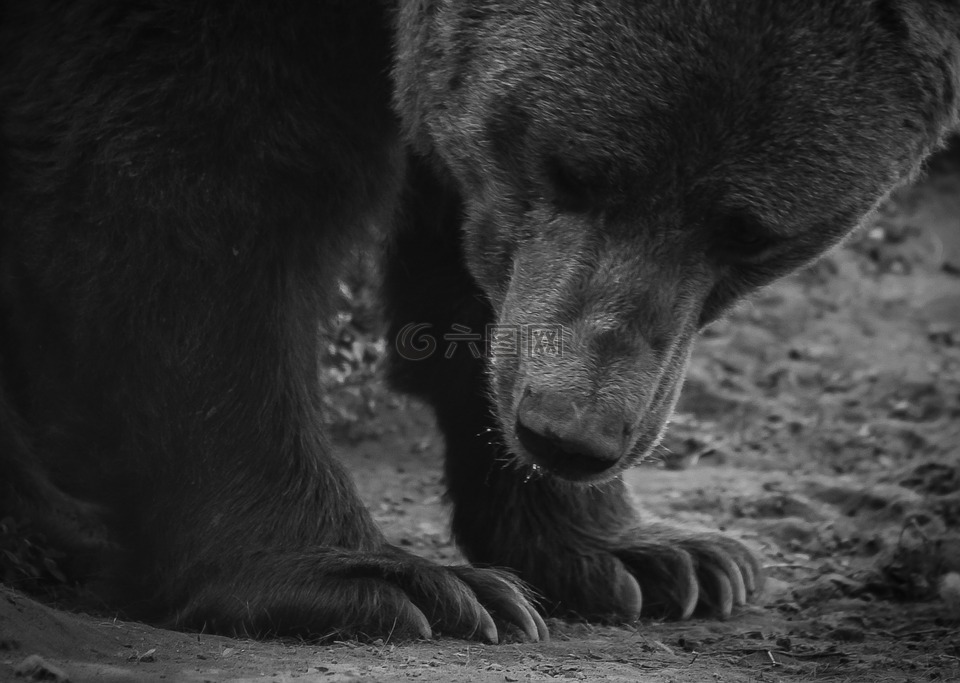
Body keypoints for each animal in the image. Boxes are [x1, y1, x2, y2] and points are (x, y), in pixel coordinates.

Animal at [1, 0, 958, 642]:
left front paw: (653, 558)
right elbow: (191, 166)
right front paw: (400, 584)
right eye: (570, 167)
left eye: (749, 232)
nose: (571, 432)